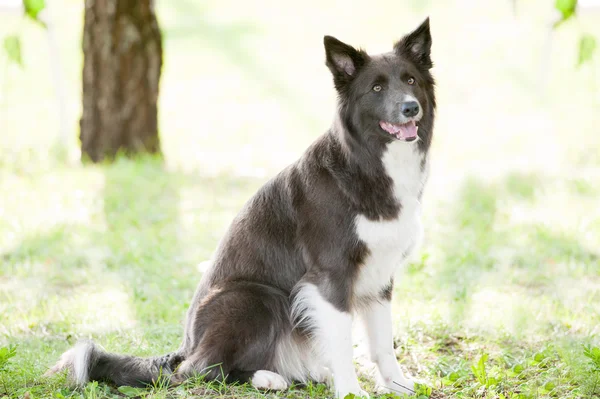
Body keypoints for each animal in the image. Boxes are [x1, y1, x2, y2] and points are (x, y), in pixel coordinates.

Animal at [48, 18, 436, 399]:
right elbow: (341, 341)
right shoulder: (331, 274)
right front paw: (352, 391)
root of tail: (186, 346)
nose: (410, 108)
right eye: (376, 88)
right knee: (197, 371)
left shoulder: (380, 277)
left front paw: (398, 384)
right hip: (255, 297)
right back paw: (267, 378)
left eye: (410, 81)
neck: (367, 162)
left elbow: (382, 342)